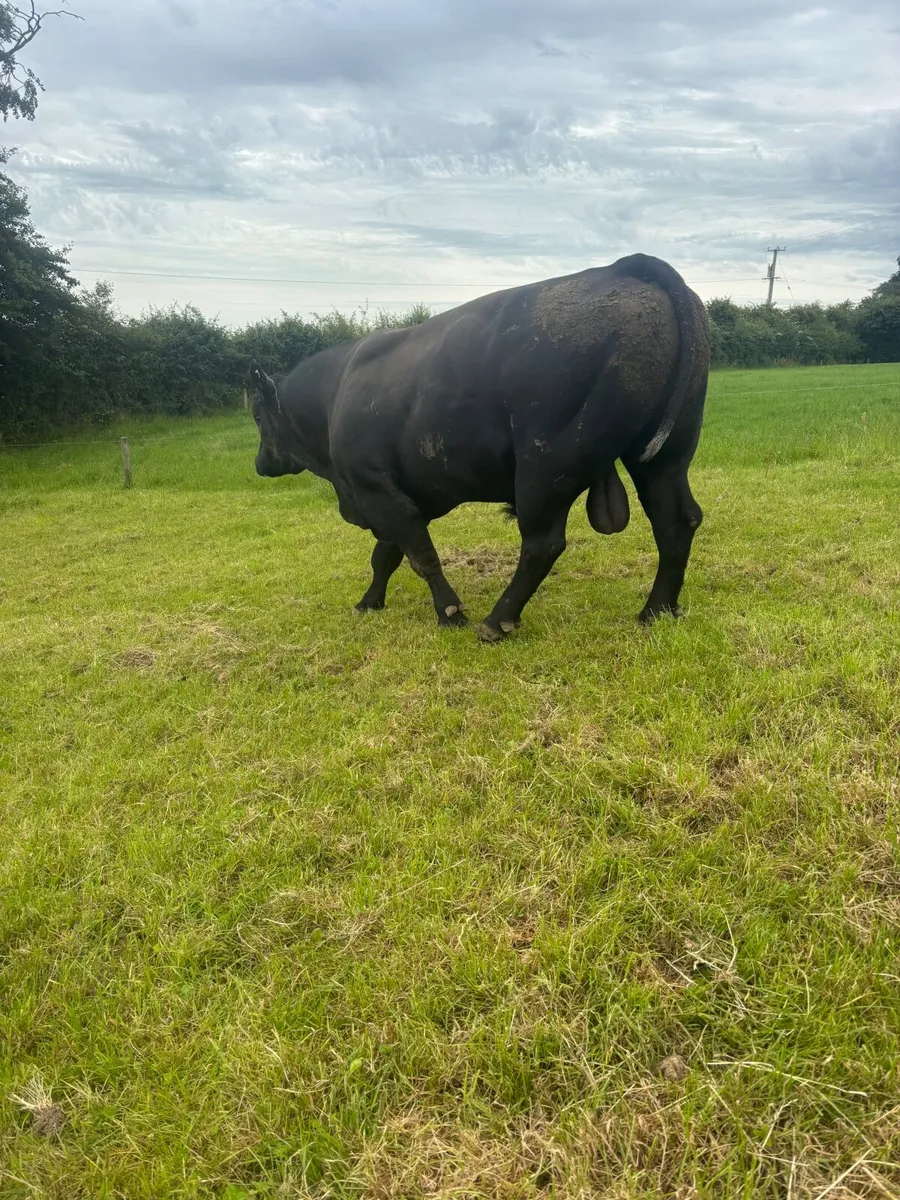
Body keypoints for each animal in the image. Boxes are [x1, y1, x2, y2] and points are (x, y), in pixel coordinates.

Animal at [248, 253, 709, 643]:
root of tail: (623, 267)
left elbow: (419, 555)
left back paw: (496, 622)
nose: (259, 463)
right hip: (664, 456)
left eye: (256, 415)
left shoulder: (376, 489)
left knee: (543, 543)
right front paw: (369, 602)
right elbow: (386, 555)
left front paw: (449, 612)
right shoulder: (406, 495)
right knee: (676, 522)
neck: (333, 397)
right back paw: (657, 610)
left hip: (547, 465)